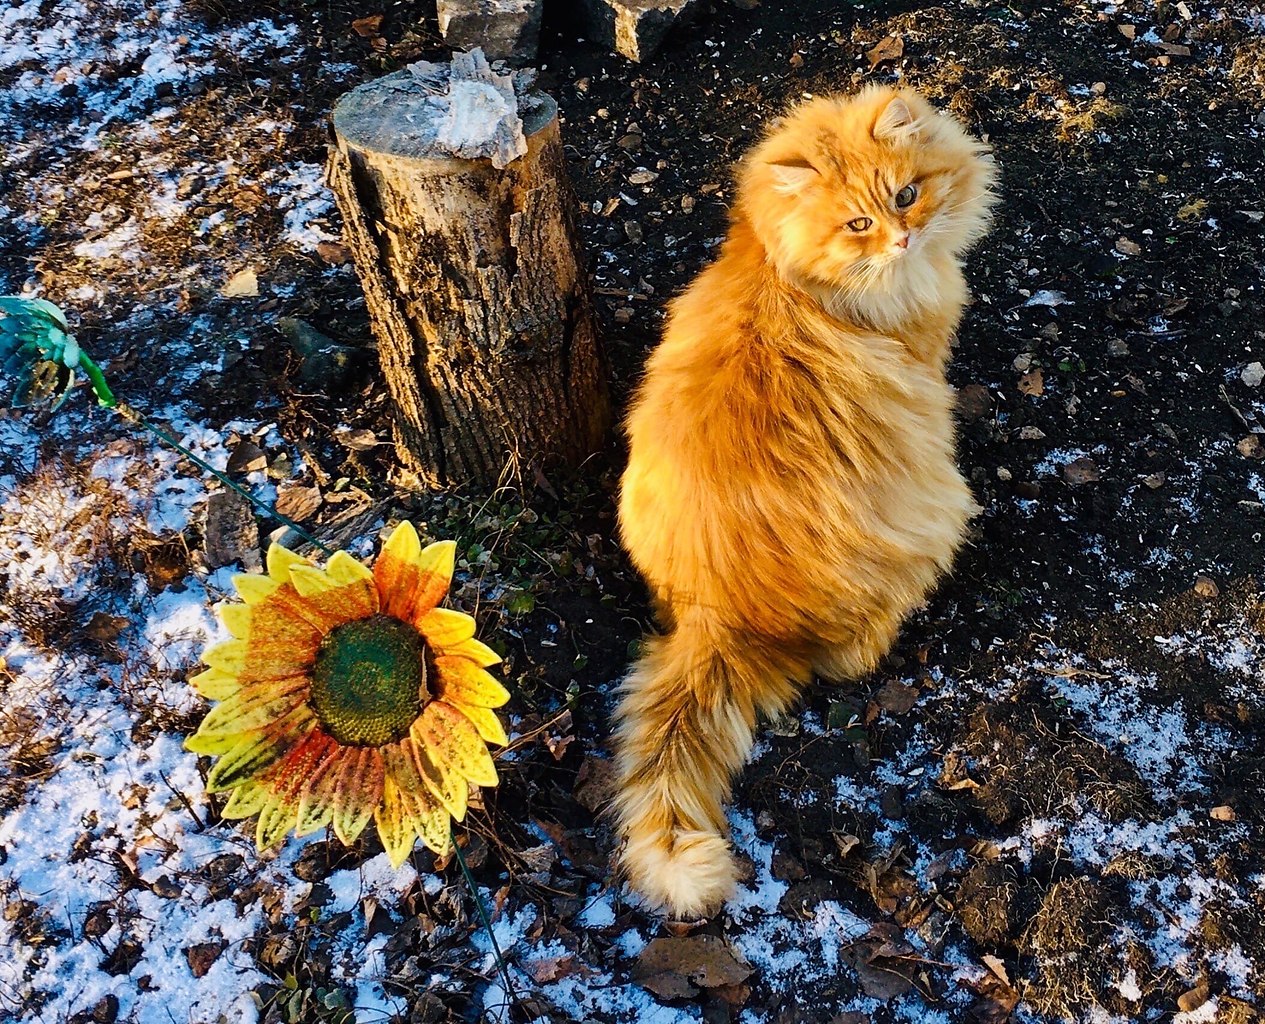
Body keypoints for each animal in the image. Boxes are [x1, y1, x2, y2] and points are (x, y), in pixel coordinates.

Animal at [609, 86, 996, 916]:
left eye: (905, 195)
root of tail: (719, 615)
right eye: (857, 224)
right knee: (857, 654)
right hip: (942, 512)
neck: (779, 269)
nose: (904, 238)